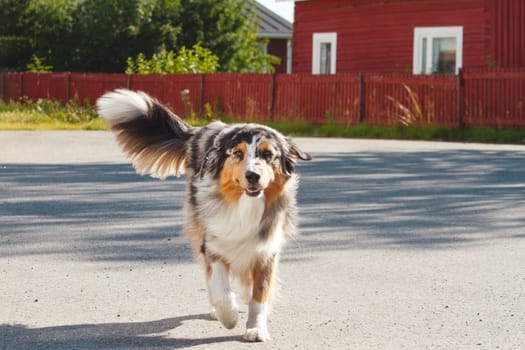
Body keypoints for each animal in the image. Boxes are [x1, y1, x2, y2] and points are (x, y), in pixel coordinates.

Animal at [96, 89, 312, 342]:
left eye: (269, 154)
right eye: (237, 153)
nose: (253, 176)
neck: (244, 205)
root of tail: (200, 130)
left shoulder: (266, 248)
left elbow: (259, 294)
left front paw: (256, 328)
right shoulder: (213, 243)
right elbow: (221, 289)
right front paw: (228, 316)